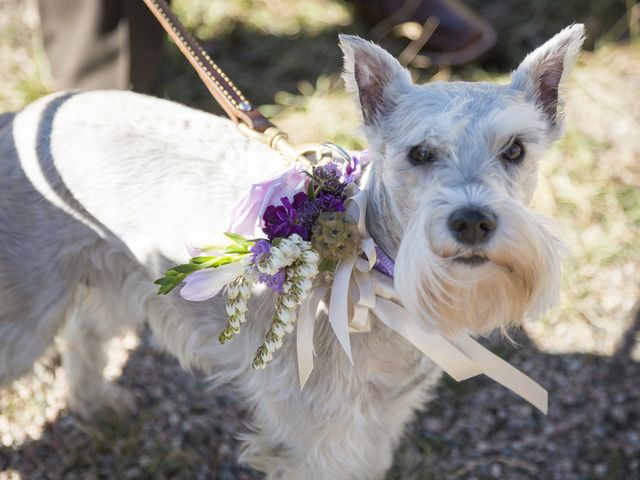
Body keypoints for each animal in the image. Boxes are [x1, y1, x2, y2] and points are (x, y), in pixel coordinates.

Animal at [0, 23, 584, 480]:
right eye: (420, 153)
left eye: (515, 150)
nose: (472, 220)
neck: (379, 276)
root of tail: (22, 119)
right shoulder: (317, 433)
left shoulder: (379, 419)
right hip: (26, 315)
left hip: (117, 279)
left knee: (84, 331)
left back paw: (97, 404)